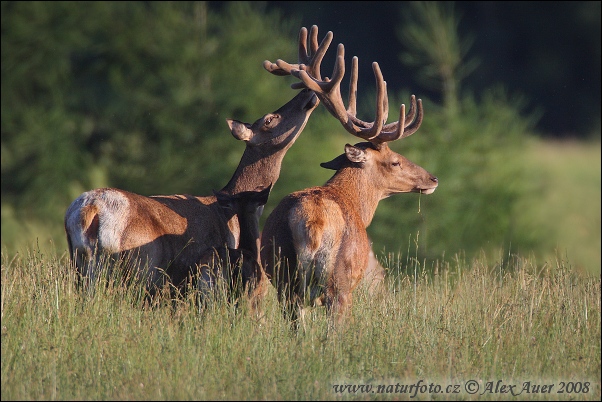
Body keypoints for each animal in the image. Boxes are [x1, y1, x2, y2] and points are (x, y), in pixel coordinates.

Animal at [63, 85, 322, 296]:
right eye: (269, 119)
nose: (308, 94)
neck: (228, 214)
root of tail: (89, 209)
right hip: (135, 267)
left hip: (80, 264)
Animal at [258, 25, 436, 326]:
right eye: (395, 162)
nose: (432, 179)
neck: (355, 203)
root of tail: (313, 221)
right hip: (339, 282)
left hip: (284, 276)